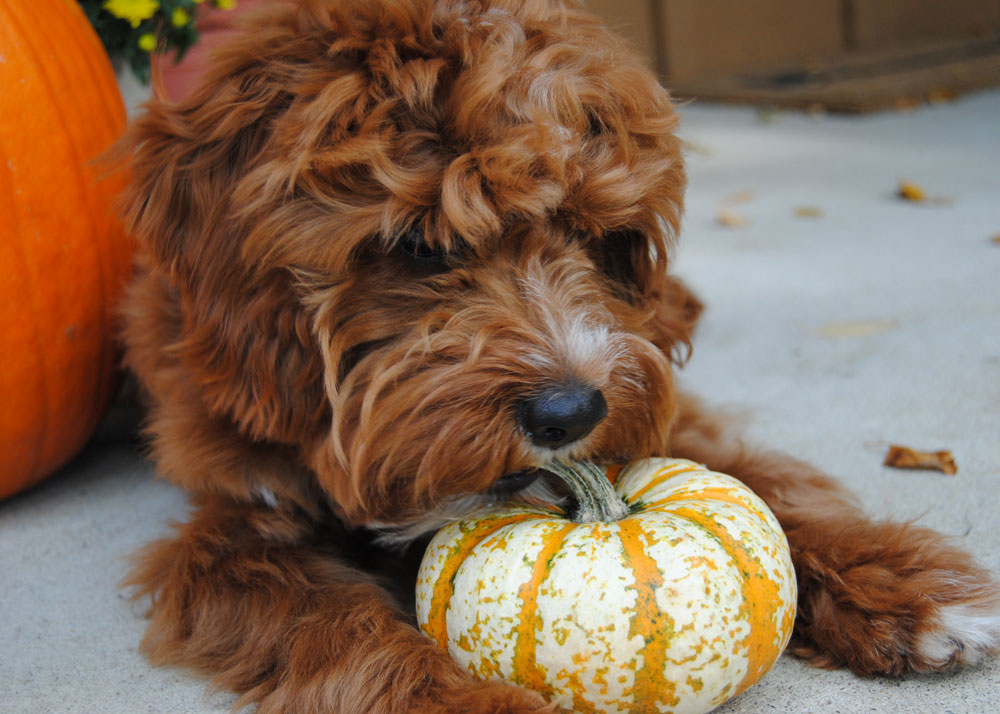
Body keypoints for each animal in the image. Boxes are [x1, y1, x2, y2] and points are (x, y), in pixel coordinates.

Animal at [119, 1, 1000, 712]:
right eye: (419, 247)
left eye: (589, 232)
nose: (570, 413)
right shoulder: (233, 533)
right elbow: (334, 627)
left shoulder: (649, 397)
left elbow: (758, 479)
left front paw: (905, 589)